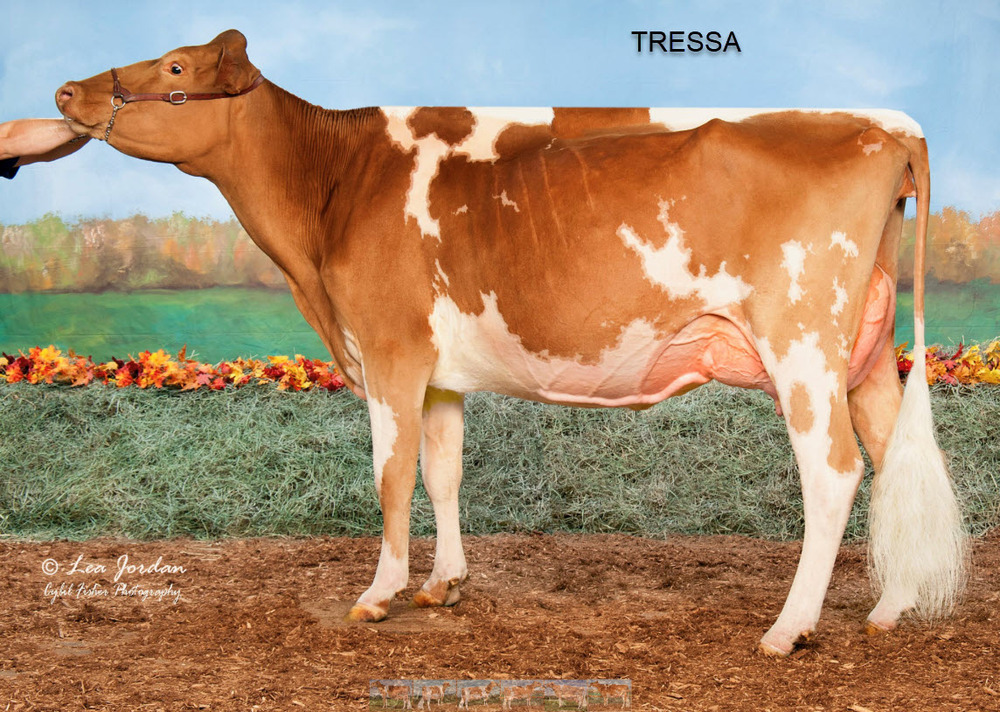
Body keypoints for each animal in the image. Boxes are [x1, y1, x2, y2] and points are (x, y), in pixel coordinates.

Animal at [54, 29, 967, 656]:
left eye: (176, 69)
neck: (334, 186)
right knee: (891, 450)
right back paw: (890, 609)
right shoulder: (438, 374)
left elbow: (390, 475)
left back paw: (789, 628)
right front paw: (444, 584)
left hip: (802, 344)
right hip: (864, 349)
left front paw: (380, 592)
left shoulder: (388, 351)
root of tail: (885, 126)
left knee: (836, 470)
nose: (67, 91)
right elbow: (443, 470)